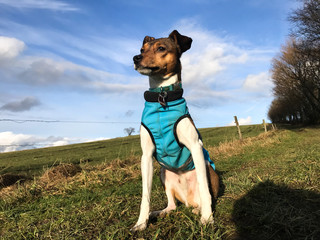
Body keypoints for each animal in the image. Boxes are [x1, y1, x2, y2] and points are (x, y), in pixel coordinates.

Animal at [131, 30, 219, 231]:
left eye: (161, 48)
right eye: (142, 49)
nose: (136, 58)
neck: (161, 97)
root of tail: (188, 201)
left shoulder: (195, 147)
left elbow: (204, 188)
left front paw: (208, 218)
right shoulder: (146, 156)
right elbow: (145, 195)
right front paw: (141, 222)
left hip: (207, 167)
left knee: (203, 195)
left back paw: (200, 210)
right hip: (163, 173)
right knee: (172, 205)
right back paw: (158, 212)